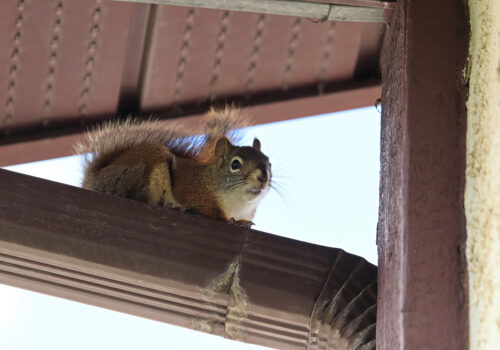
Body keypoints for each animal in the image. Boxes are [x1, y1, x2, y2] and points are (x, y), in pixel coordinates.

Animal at [74, 107, 272, 227]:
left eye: (269, 163)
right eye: (235, 164)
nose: (263, 176)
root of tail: (95, 180)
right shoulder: (198, 194)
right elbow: (213, 214)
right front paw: (233, 222)